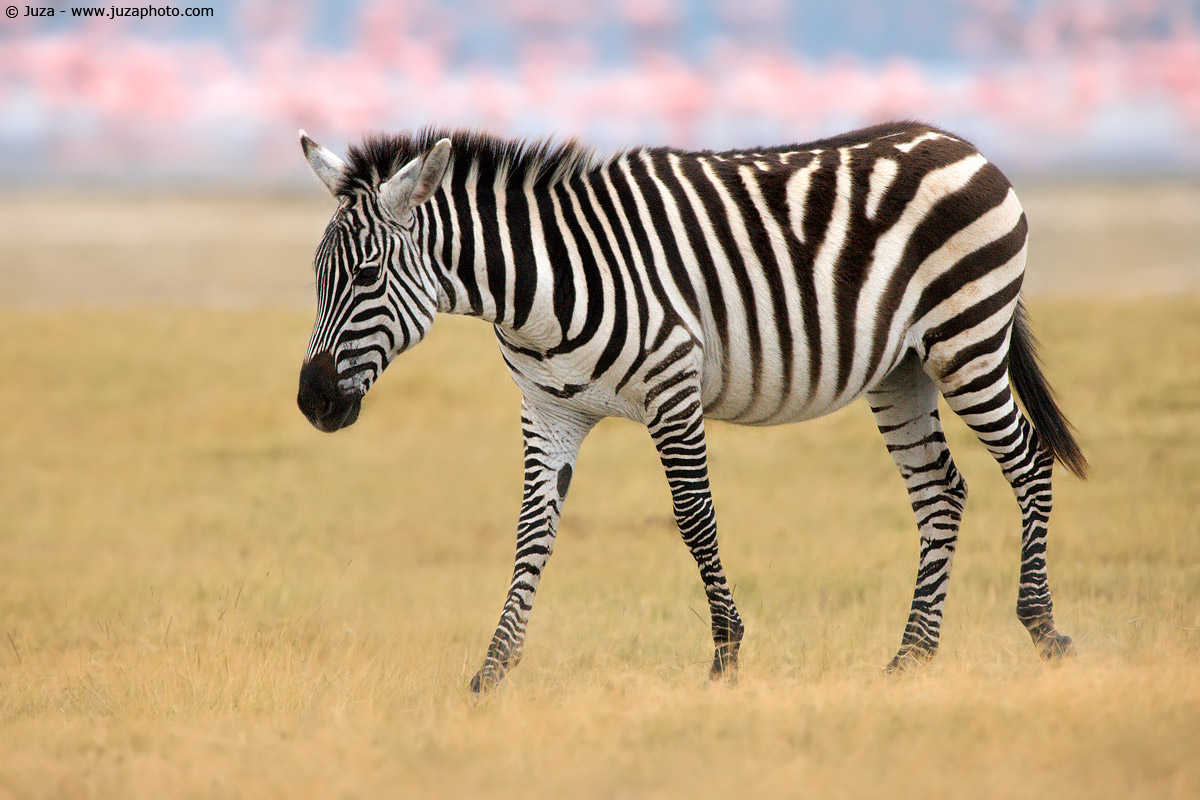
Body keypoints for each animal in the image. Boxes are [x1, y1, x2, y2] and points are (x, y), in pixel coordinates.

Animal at [296, 121, 1088, 692]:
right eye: (317, 275)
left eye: (367, 275)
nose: (312, 401)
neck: (540, 290)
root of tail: (962, 145)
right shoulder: (548, 412)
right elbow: (531, 533)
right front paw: (492, 670)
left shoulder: (672, 388)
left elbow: (693, 518)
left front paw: (727, 656)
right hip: (903, 371)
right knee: (940, 491)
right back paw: (912, 657)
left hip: (968, 340)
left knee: (1029, 462)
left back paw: (1044, 629)